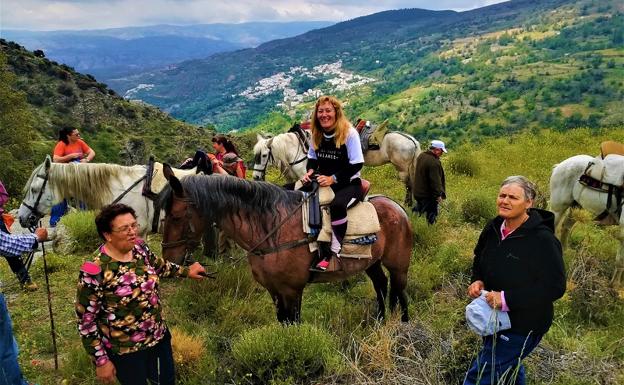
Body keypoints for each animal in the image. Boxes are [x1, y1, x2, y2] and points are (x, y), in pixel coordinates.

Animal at [160, 170, 414, 322]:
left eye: (175, 216)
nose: (168, 257)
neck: (271, 230)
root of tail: (397, 208)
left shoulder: (292, 291)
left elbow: (293, 324)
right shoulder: (274, 290)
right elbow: (283, 322)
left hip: (398, 267)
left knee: (400, 292)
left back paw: (402, 324)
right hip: (371, 263)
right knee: (381, 285)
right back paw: (381, 320)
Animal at [251, 130, 422, 206]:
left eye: (264, 155)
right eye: (255, 155)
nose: (256, 177)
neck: (297, 150)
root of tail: (411, 140)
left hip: (402, 169)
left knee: (408, 185)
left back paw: (408, 204)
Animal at [552, 154, 624, 284]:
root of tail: (560, 166)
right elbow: (621, 261)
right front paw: (615, 285)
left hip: (576, 207)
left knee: (566, 226)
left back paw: (566, 250)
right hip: (558, 209)